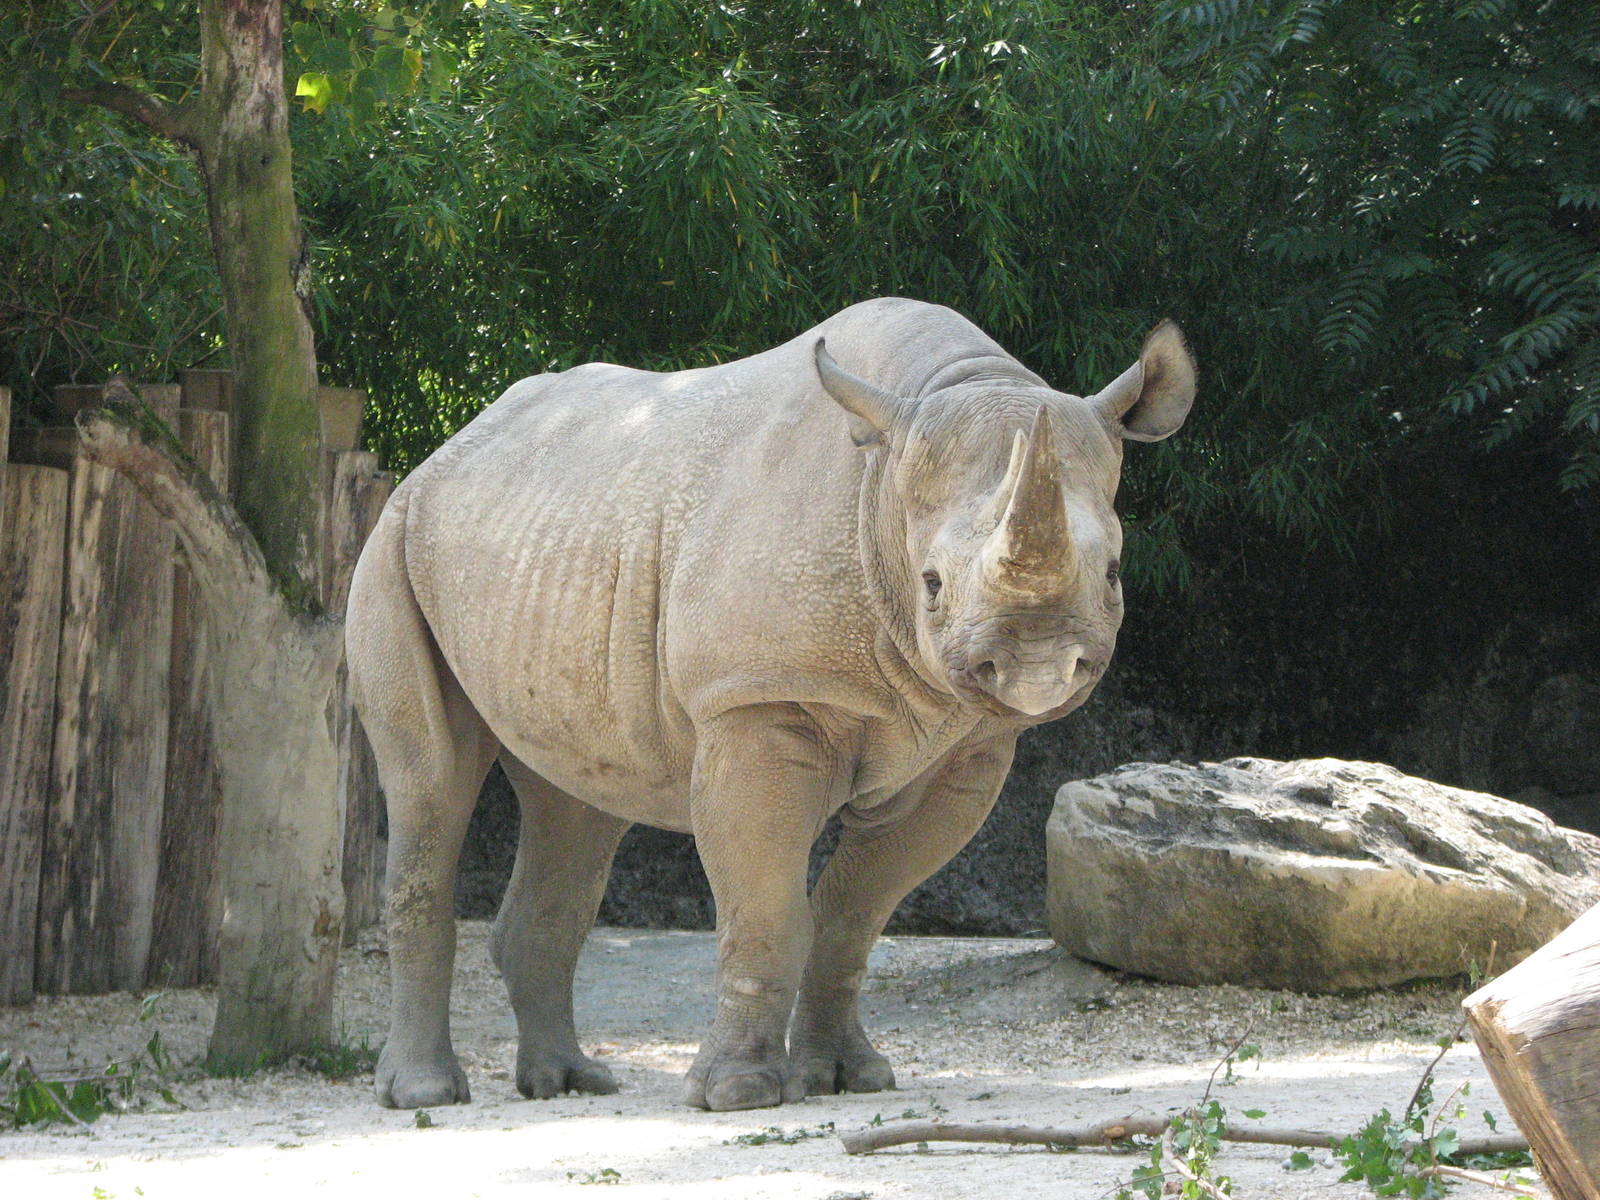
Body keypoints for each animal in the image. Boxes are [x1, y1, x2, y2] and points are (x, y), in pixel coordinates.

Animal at [345, 297, 1196, 1111]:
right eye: (932, 584)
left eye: (1114, 574)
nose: (1038, 664)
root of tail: (449, 449)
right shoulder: (757, 700)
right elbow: (768, 905)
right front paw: (739, 1093)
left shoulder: (966, 746)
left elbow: (853, 912)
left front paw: (848, 1077)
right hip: (393, 541)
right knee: (431, 781)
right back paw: (425, 1092)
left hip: (542, 547)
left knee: (577, 799)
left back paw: (568, 1081)